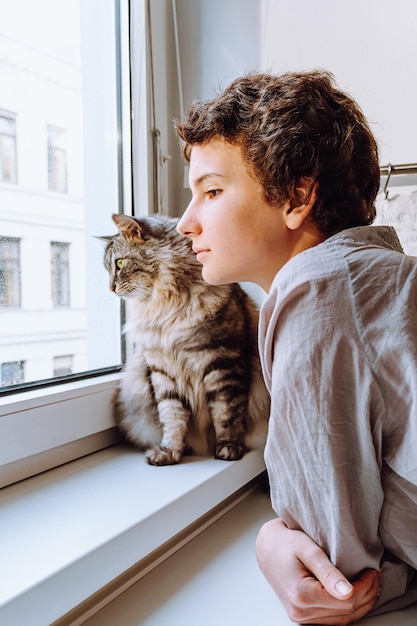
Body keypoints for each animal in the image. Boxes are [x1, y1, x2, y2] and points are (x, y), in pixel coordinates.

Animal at [102, 214, 268, 464]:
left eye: (119, 264)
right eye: (107, 268)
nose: (111, 288)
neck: (165, 305)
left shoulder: (224, 362)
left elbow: (227, 413)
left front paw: (228, 448)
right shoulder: (162, 370)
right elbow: (172, 416)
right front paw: (169, 451)